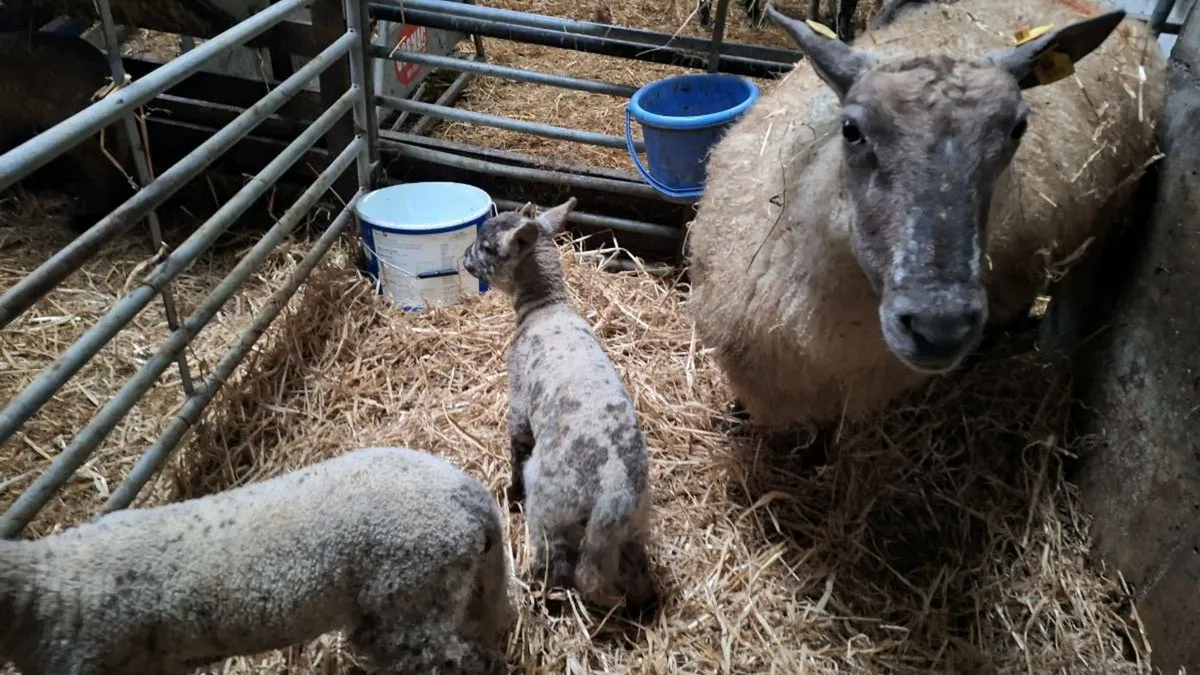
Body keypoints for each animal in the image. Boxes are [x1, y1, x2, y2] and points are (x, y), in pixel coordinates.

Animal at [461, 198, 656, 614]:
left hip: (552, 506)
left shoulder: (519, 402)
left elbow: (517, 448)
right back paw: (641, 602)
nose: (464, 258)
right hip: (634, 523)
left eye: (486, 248)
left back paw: (539, 595)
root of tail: (613, 493)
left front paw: (510, 494)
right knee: (627, 567)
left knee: (557, 564)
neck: (546, 308)